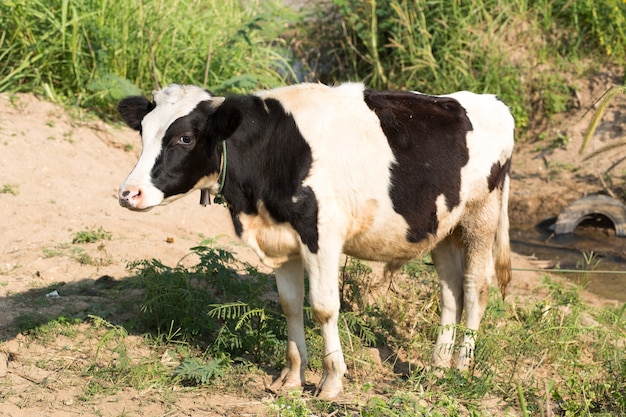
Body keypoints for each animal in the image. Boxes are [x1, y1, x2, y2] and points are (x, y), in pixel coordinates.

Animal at [117, 83, 512, 398]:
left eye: (184, 138)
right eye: (143, 133)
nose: (128, 193)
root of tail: (487, 101)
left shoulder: (321, 235)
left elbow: (323, 307)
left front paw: (332, 381)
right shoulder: (281, 239)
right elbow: (291, 306)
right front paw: (292, 377)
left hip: (481, 218)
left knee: (476, 288)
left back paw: (461, 367)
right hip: (445, 227)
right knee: (451, 292)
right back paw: (437, 367)